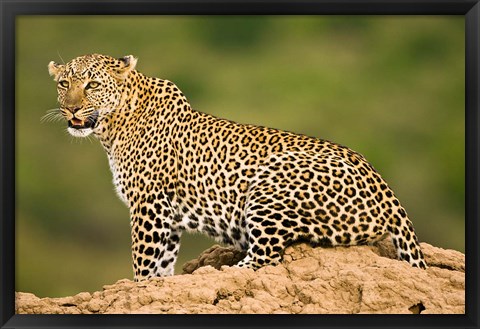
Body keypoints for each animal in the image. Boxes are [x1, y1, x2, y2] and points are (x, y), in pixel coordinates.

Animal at [47, 53, 426, 280]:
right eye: (64, 83)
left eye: (93, 84)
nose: (72, 109)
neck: (114, 126)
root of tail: (388, 191)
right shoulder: (167, 214)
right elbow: (162, 264)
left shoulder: (148, 204)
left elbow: (143, 260)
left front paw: (140, 287)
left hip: (271, 184)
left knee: (266, 256)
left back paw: (220, 273)